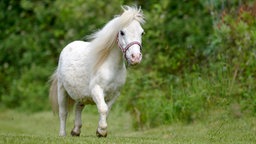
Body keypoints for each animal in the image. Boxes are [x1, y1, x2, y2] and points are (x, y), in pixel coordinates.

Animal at [49, 5, 145, 137]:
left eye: (142, 32)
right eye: (122, 32)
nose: (135, 57)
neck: (111, 67)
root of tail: (67, 47)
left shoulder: (115, 94)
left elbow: (107, 110)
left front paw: (100, 131)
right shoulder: (96, 90)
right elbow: (103, 109)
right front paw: (102, 131)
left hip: (81, 94)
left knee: (78, 107)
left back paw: (76, 131)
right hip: (62, 89)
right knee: (63, 112)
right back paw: (62, 134)